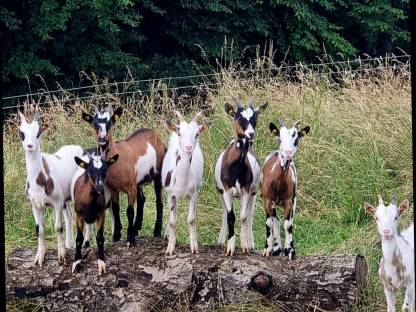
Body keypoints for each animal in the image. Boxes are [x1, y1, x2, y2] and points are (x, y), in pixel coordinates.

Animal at [19, 109, 84, 266]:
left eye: (38, 132)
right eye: (21, 133)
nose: (30, 146)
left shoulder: (57, 202)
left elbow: (58, 227)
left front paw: (62, 256)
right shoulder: (35, 204)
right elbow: (39, 229)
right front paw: (39, 257)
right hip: (65, 199)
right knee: (69, 217)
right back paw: (69, 244)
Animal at [81, 105, 166, 246]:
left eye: (110, 123)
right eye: (94, 123)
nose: (102, 139)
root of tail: (154, 134)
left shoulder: (130, 188)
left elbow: (129, 211)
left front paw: (130, 239)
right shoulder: (114, 189)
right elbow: (116, 209)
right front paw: (116, 236)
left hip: (158, 174)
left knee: (159, 201)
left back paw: (157, 231)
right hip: (138, 181)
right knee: (142, 199)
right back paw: (137, 228)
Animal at [162, 111, 208, 255]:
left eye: (196, 134)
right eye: (180, 132)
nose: (188, 148)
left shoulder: (193, 195)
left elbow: (191, 219)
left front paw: (194, 246)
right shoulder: (170, 195)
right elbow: (172, 221)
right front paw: (170, 248)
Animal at [216, 98, 268, 256]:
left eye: (255, 118)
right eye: (238, 117)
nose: (250, 134)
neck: (236, 166)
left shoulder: (245, 190)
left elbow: (244, 217)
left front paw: (244, 246)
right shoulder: (227, 190)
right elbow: (230, 216)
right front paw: (230, 248)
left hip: (253, 192)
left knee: (249, 215)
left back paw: (250, 244)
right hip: (223, 193)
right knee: (225, 213)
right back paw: (221, 241)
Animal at [262, 119, 310, 258]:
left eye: (296, 139)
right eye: (280, 138)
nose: (288, 152)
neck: (278, 183)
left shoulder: (289, 201)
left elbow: (288, 224)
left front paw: (290, 250)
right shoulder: (267, 200)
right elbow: (269, 222)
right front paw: (267, 249)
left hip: (294, 200)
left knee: (288, 221)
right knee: (275, 220)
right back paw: (276, 248)